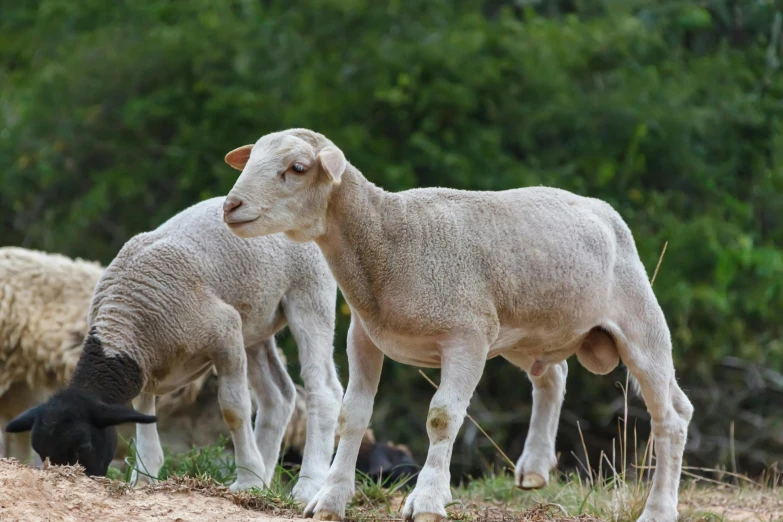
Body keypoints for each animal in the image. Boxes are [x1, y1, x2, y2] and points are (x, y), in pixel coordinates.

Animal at [5, 196, 344, 500]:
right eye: (42, 453)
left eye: (84, 446)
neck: (124, 319)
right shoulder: (146, 365)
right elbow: (141, 416)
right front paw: (143, 477)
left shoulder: (224, 331)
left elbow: (234, 409)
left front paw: (247, 479)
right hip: (255, 322)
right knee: (278, 396)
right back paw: (263, 478)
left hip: (309, 292)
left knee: (323, 389)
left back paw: (305, 487)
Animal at [220, 128, 692, 520]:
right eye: (251, 160)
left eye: (298, 168)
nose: (230, 206)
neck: (387, 239)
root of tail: (599, 208)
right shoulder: (364, 336)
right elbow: (352, 415)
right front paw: (330, 499)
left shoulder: (466, 338)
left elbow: (442, 418)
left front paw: (427, 500)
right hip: (527, 333)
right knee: (553, 375)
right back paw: (535, 467)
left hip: (639, 322)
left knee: (672, 416)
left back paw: (658, 510)